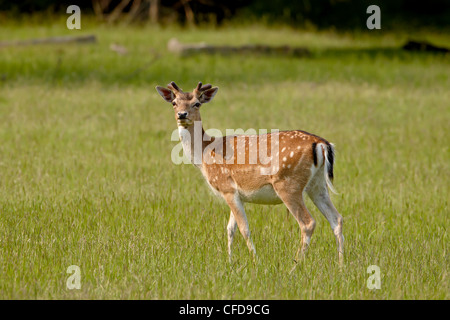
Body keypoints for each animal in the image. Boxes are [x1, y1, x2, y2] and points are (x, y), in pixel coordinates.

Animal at [156, 81, 344, 264]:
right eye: (174, 103)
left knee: (308, 223)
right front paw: (230, 262)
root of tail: (321, 144)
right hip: (317, 185)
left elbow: (244, 228)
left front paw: (255, 261)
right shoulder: (238, 194)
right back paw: (341, 264)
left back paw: (295, 265)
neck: (204, 155)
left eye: (197, 103)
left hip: (288, 184)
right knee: (337, 219)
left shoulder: (227, 188)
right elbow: (230, 229)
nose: (182, 115)